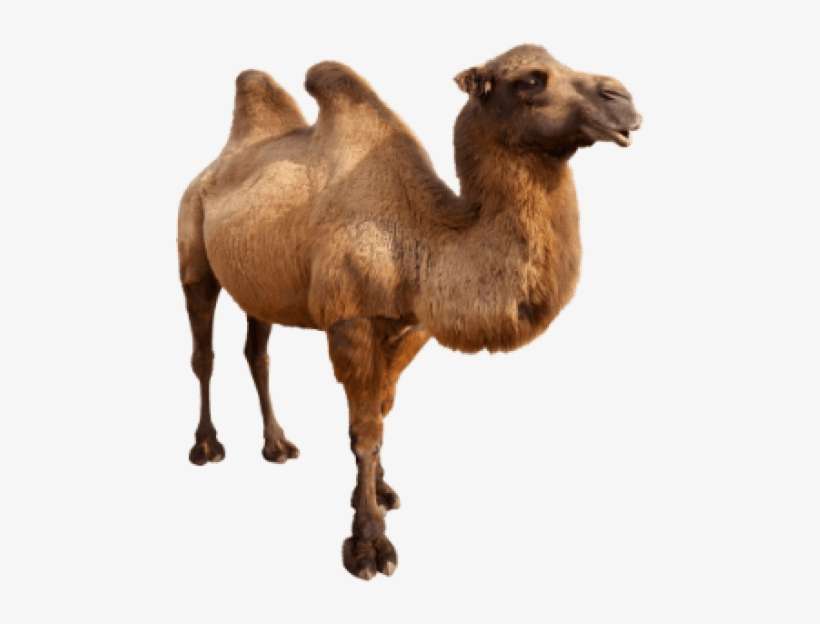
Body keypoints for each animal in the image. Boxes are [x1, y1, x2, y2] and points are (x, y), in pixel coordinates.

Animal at [177, 44, 640, 579]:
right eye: (530, 79)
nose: (623, 99)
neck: (425, 235)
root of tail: (210, 169)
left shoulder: (412, 326)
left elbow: (382, 410)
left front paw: (380, 491)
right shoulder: (351, 321)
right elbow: (364, 430)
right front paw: (368, 544)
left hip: (260, 280)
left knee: (257, 352)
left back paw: (277, 446)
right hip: (192, 249)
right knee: (203, 353)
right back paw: (206, 447)